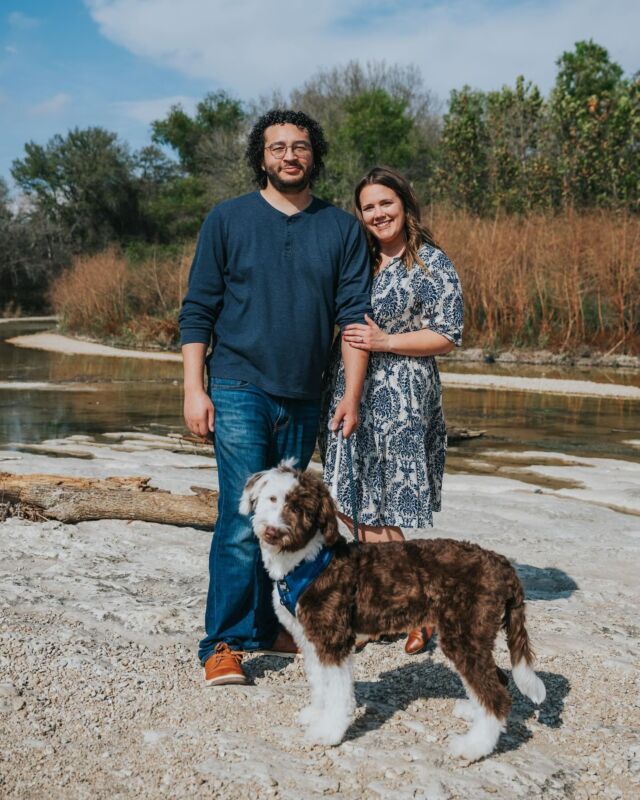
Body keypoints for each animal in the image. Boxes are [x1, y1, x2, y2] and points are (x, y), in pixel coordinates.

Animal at [240, 460, 544, 760]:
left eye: (300, 508)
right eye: (272, 499)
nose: (273, 531)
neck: (307, 561)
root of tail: (502, 564)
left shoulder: (334, 640)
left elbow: (338, 693)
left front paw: (328, 732)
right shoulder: (309, 639)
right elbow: (319, 682)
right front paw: (317, 713)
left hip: (465, 634)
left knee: (495, 696)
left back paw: (474, 747)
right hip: (474, 636)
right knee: (496, 680)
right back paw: (473, 713)